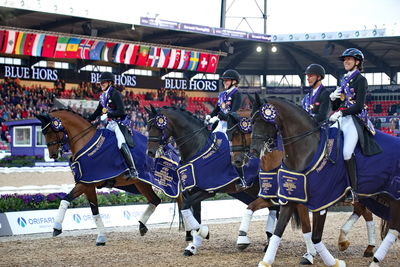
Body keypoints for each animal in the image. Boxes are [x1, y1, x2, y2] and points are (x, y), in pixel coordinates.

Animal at [35, 109, 175, 247]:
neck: (85, 141)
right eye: (43, 132)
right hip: (142, 183)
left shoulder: (85, 183)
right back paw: (142, 226)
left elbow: (65, 199)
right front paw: (101, 237)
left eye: (49, 131)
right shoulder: (88, 184)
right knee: (155, 200)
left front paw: (56, 227)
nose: (52, 155)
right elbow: (94, 211)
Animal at [145, 105, 260, 258]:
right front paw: (193, 245)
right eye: (148, 126)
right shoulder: (193, 192)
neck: (197, 147)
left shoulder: (207, 191)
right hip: (253, 189)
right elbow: (195, 216)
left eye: (158, 126)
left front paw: (203, 233)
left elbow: (185, 207)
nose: (150, 152)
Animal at [248, 95, 398, 266]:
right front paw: (266, 261)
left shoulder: (321, 202)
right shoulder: (291, 198)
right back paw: (363, 251)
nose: (254, 150)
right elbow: (278, 232)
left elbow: (315, 236)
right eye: (252, 121)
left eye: (265, 120)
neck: (306, 150)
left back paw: (371, 255)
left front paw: (333, 262)